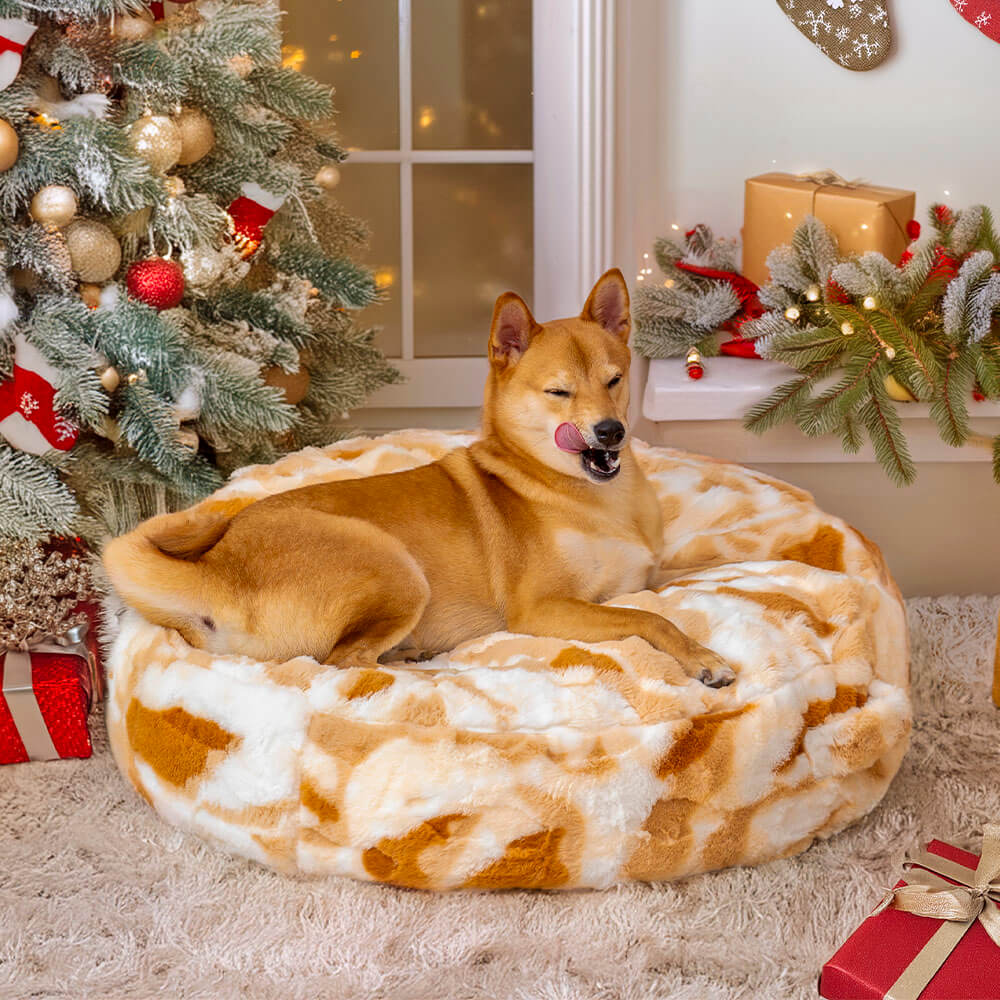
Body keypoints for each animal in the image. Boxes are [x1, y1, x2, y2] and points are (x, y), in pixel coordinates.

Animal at [103, 266, 736, 688]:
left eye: (614, 379)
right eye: (559, 392)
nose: (610, 432)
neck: (589, 494)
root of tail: (214, 570)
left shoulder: (649, 573)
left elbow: (704, 568)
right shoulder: (544, 609)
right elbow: (646, 618)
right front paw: (703, 657)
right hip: (395, 567)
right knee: (344, 663)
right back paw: (426, 673)